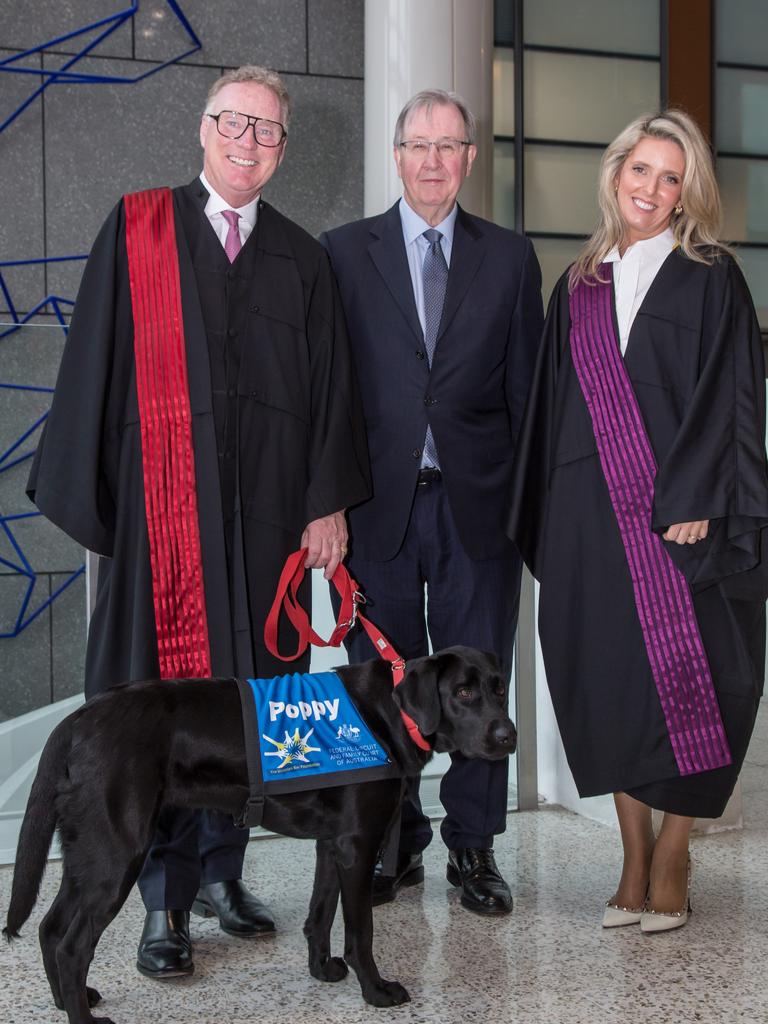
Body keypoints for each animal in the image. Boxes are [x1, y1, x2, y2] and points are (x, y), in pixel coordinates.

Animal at [4, 647, 518, 1024]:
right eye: (463, 691)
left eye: (499, 688)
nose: (509, 736)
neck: (387, 714)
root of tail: (77, 718)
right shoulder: (356, 845)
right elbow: (360, 933)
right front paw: (375, 991)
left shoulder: (332, 845)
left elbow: (319, 916)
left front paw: (322, 970)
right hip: (118, 854)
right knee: (72, 945)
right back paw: (82, 1018)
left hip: (89, 853)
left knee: (50, 929)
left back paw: (68, 1002)